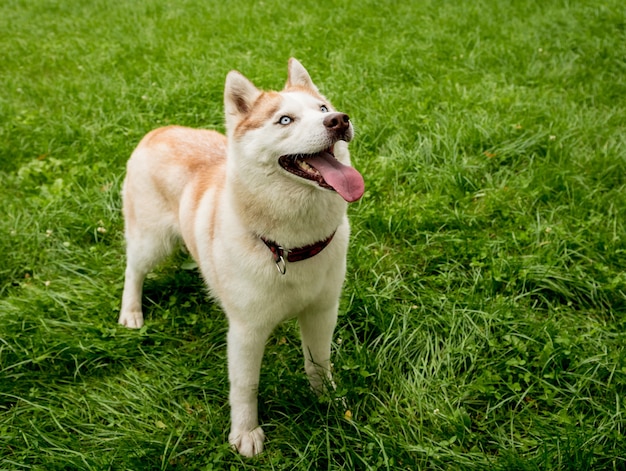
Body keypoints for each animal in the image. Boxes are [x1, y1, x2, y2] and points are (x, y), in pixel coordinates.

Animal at [117, 58, 364, 458]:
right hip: (151, 242)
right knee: (133, 270)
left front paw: (329, 403)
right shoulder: (247, 331)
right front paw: (245, 433)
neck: (290, 248)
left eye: (323, 108)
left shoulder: (322, 311)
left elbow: (319, 364)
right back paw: (131, 311)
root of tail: (160, 130)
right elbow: (246, 386)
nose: (338, 120)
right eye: (284, 120)